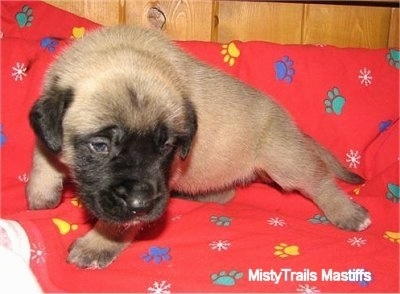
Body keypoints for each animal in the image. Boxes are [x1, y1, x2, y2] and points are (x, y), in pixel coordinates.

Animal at [27, 25, 372, 268]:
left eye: (166, 145)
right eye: (99, 146)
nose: (141, 203)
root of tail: (293, 128)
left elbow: (118, 222)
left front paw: (98, 243)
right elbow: (44, 151)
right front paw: (42, 190)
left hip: (285, 161)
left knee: (319, 180)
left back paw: (348, 212)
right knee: (225, 193)